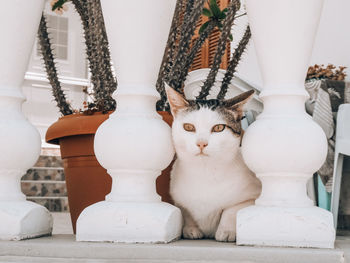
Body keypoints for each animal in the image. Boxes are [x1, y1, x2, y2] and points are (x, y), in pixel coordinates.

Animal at [165, 86, 262, 243]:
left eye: (218, 128)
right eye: (188, 127)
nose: (201, 143)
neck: (205, 171)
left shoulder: (253, 196)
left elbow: (232, 209)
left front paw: (226, 231)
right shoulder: (178, 199)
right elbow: (186, 211)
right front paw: (191, 228)